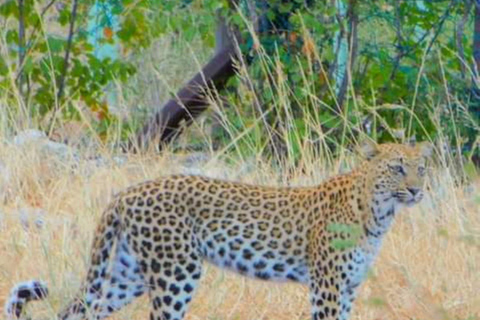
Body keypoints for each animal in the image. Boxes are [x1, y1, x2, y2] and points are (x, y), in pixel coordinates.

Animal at [4, 142, 432, 320]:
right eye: (397, 167)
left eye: (421, 167)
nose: (416, 189)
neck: (378, 213)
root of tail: (126, 192)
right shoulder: (326, 286)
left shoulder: (348, 287)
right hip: (175, 273)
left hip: (127, 274)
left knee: (76, 311)